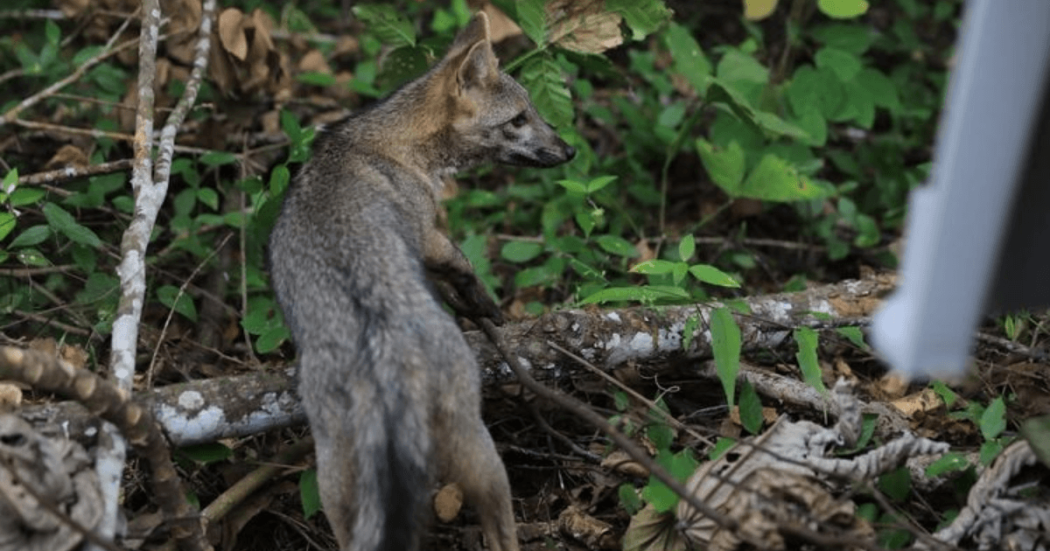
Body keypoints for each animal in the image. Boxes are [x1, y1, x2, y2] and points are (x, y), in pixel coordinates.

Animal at [268, 11, 575, 551]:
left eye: (534, 111)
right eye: (519, 119)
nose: (570, 150)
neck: (385, 144)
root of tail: (384, 357)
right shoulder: (427, 231)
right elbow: (462, 264)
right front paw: (484, 305)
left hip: (337, 484)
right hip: (476, 444)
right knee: (502, 529)